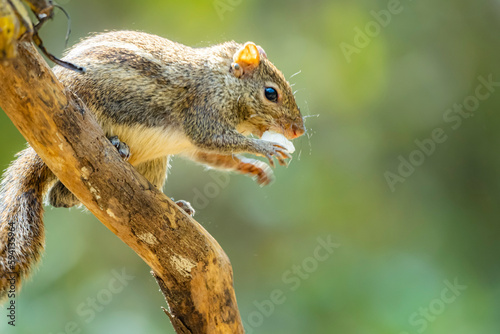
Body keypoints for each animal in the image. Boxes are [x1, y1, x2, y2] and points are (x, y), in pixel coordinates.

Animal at [0, 31, 304, 302]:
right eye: (270, 93)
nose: (298, 131)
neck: (220, 80)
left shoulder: (195, 143)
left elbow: (213, 155)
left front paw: (254, 168)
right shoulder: (203, 112)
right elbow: (214, 139)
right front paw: (265, 148)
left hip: (152, 163)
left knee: (61, 196)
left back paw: (177, 205)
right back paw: (116, 145)